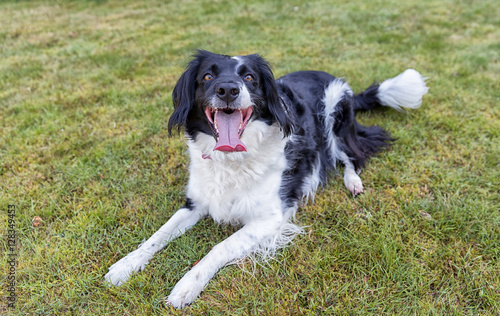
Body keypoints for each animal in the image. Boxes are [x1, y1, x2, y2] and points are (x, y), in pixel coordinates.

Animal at [104, 50, 426, 308]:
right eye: (207, 75)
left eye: (249, 77)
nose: (228, 89)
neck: (232, 161)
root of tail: (337, 79)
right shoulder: (195, 202)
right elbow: (156, 236)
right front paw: (124, 266)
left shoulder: (270, 218)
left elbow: (219, 247)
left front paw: (186, 286)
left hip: (336, 115)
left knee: (352, 153)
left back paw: (353, 182)